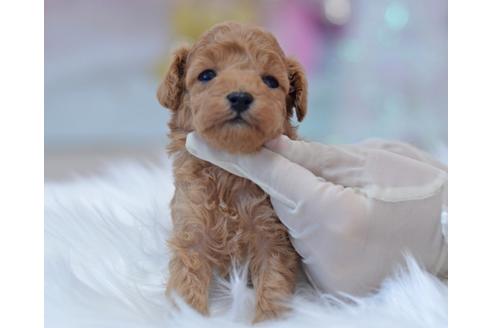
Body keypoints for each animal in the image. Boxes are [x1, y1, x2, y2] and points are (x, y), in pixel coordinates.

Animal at [158, 21, 308, 322]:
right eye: (207, 75)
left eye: (270, 81)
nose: (240, 97)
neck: (228, 172)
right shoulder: (191, 228)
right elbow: (186, 280)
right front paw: (186, 316)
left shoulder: (272, 235)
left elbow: (273, 283)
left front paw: (269, 319)